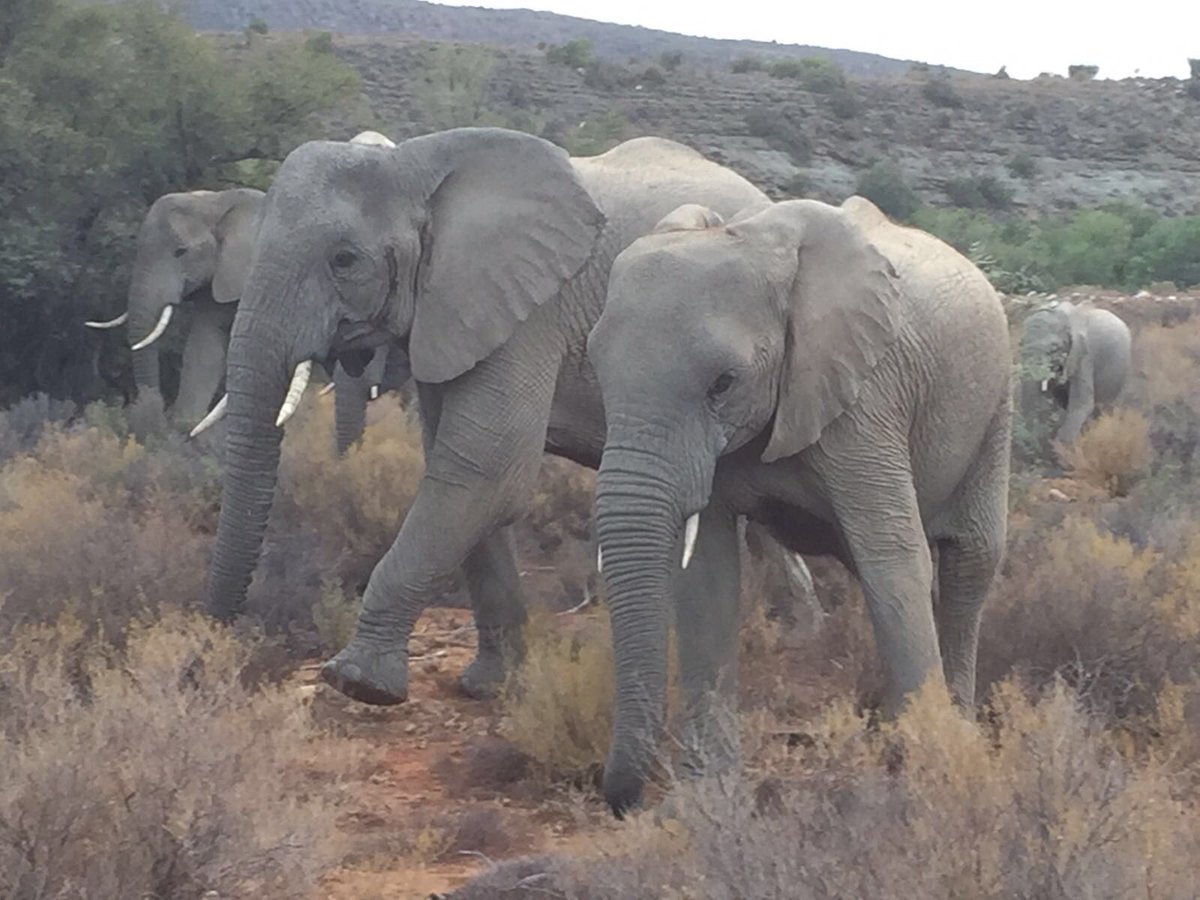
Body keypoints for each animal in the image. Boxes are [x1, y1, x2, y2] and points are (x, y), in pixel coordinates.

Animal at [201, 126, 825, 706]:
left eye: (344, 260)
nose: (216, 640)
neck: (418, 165)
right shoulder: (455, 312)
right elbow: (461, 469)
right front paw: (489, 687)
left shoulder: (530, 312)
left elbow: (487, 468)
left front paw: (358, 682)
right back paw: (797, 627)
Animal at [586, 196, 1012, 815]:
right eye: (595, 370)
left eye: (723, 383)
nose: (621, 800)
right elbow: (707, 581)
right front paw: (704, 803)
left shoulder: (866, 400)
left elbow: (895, 560)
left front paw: (930, 777)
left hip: (996, 402)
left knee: (969, 562)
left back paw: (957, 731)